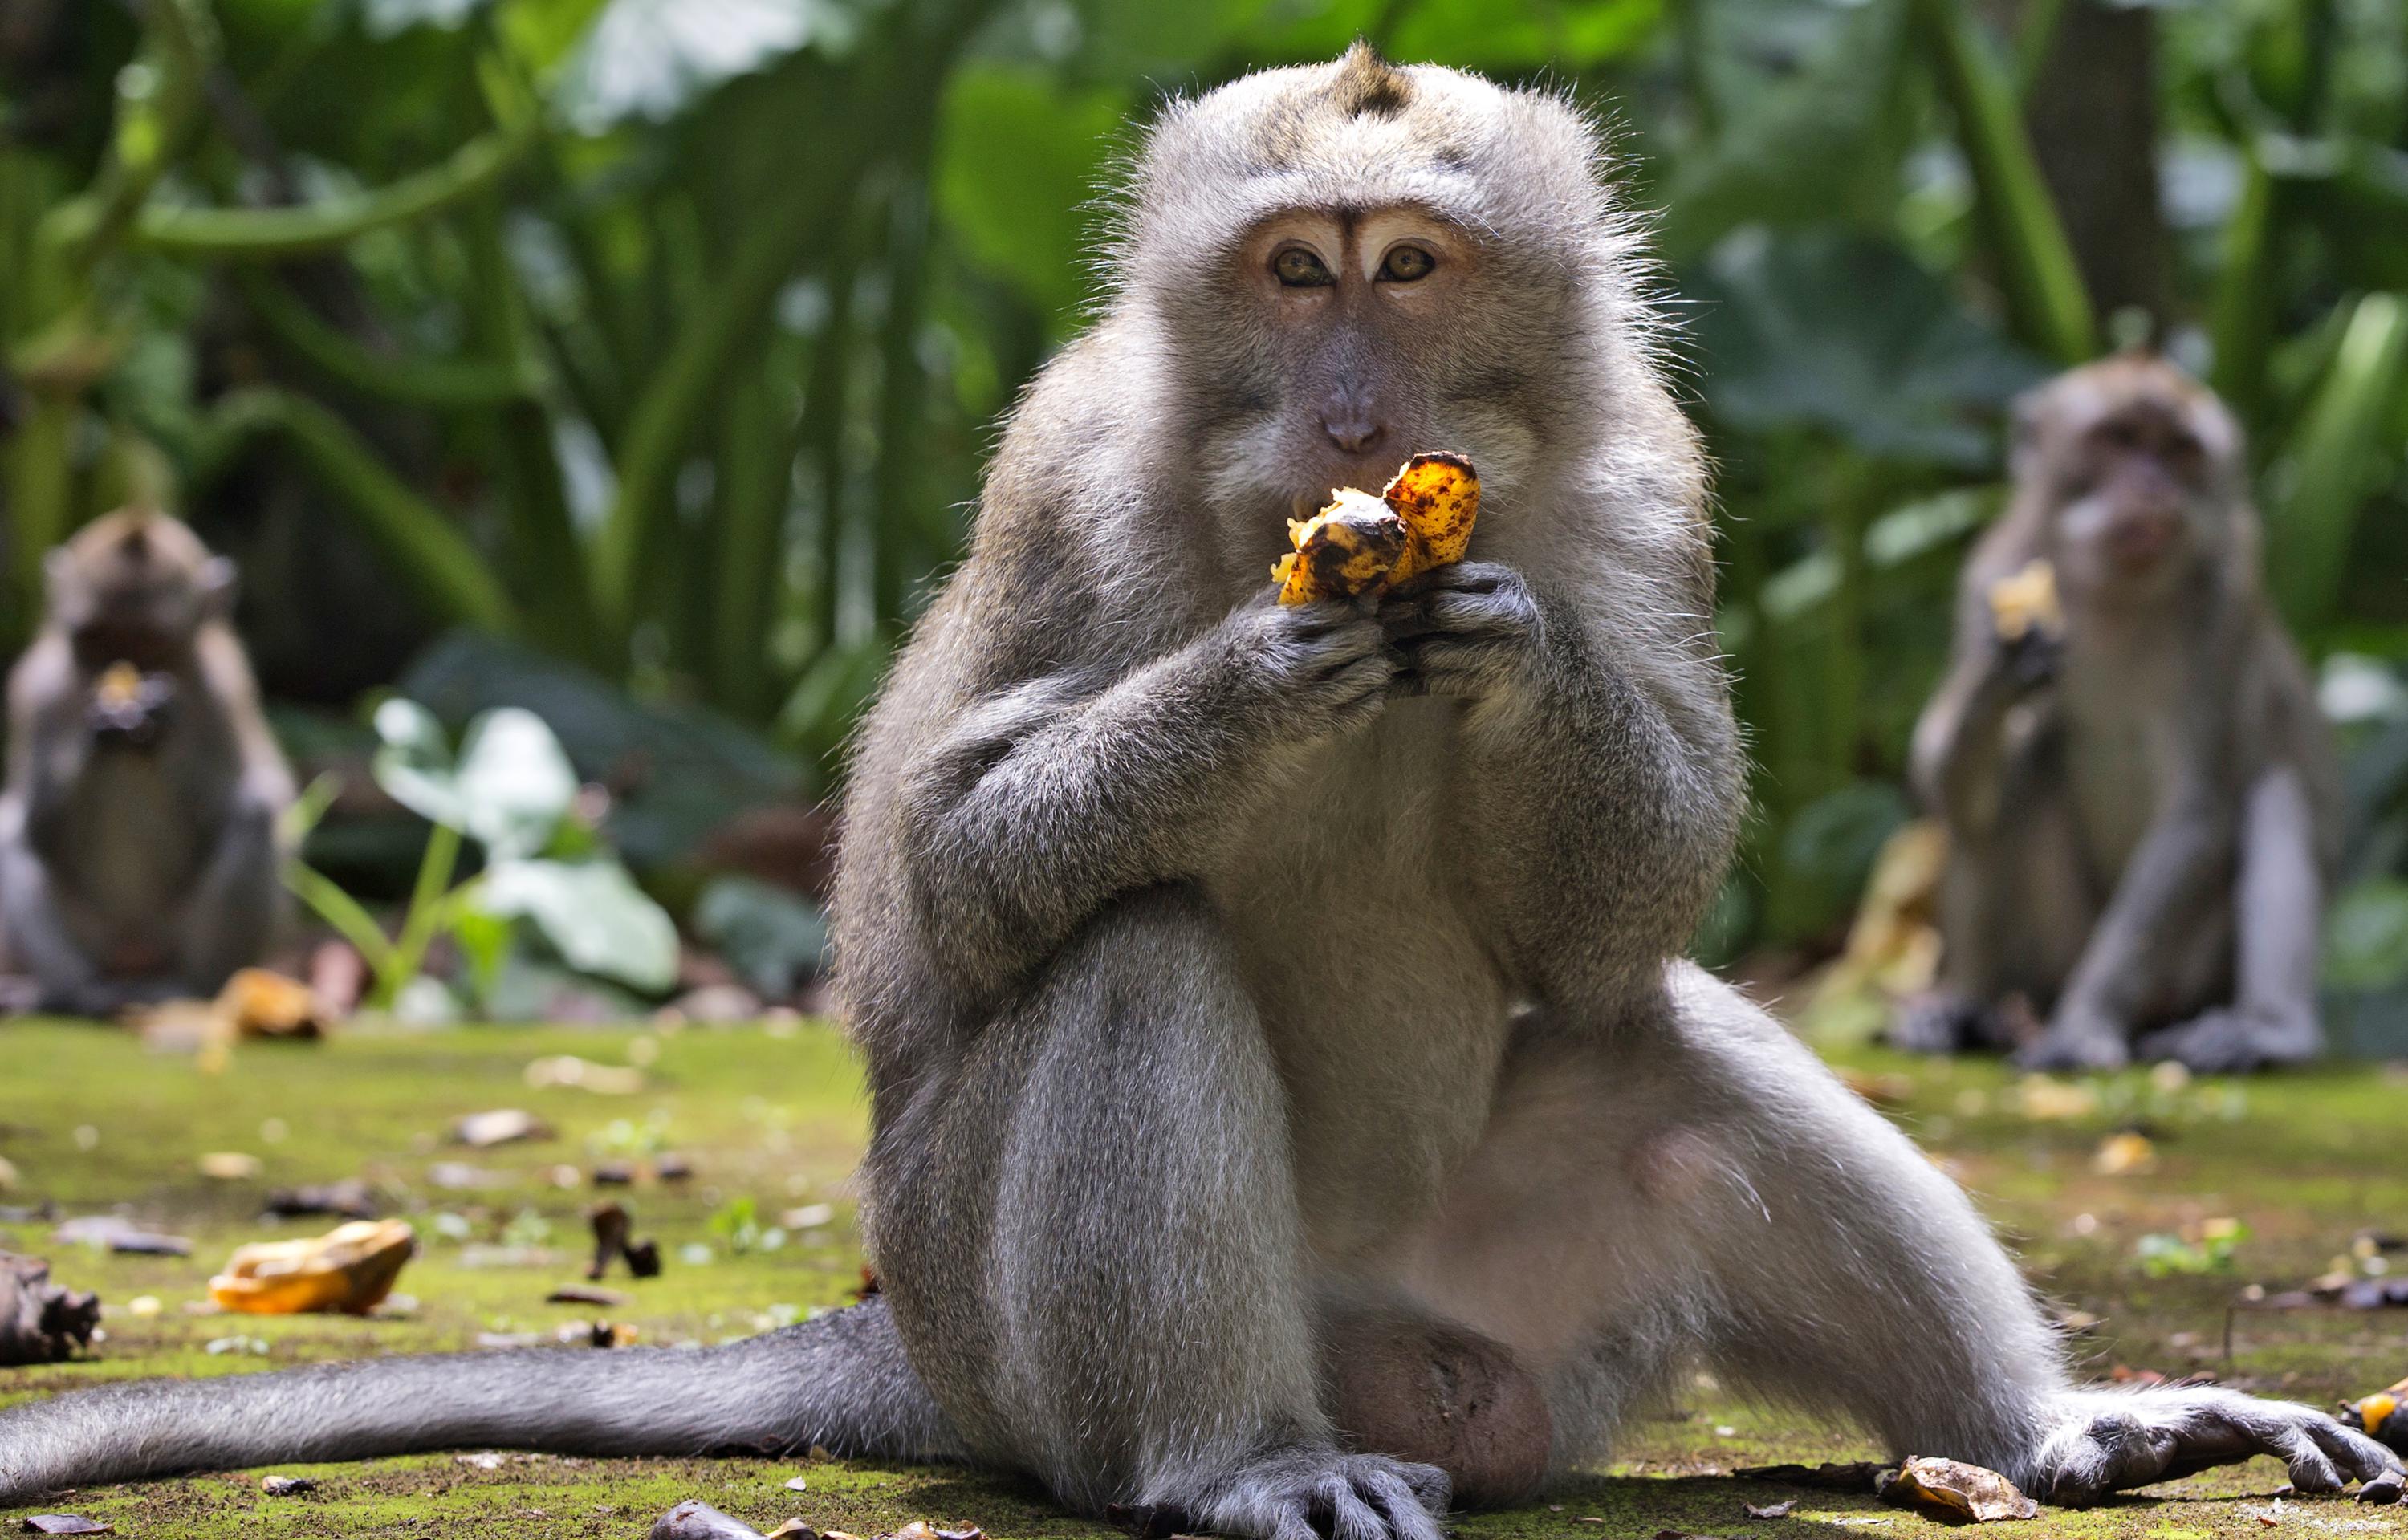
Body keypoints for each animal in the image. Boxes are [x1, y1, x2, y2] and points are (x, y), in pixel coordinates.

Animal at [0, 505, 296, 1015]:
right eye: (97, 640)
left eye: (152, 643)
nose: (122, 669)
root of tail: (131, 953)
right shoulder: (39, 689)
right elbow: (38, 828)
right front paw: (99, 730)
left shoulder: (223, 690)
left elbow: (237, 805)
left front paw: (157, 721)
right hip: (93, 933)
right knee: (9, 830)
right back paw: (72, 993)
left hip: (171, 933)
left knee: (254, 813)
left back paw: (191, 985)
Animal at [1898, 351, 2331, 1068]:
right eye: (2120, 438)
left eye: (2180, 450)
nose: (2153, 487)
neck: (2115, 593)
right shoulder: (1990, 571)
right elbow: (1945, 782)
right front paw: (2002, 668)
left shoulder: (2226, 603)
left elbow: (2197, 812)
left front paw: (2083, 1023)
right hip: (2053, 950)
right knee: (2017, 780)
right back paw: (1967, 1004)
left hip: (2191, 975)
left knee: (2277, 792)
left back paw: (2268, 1025)